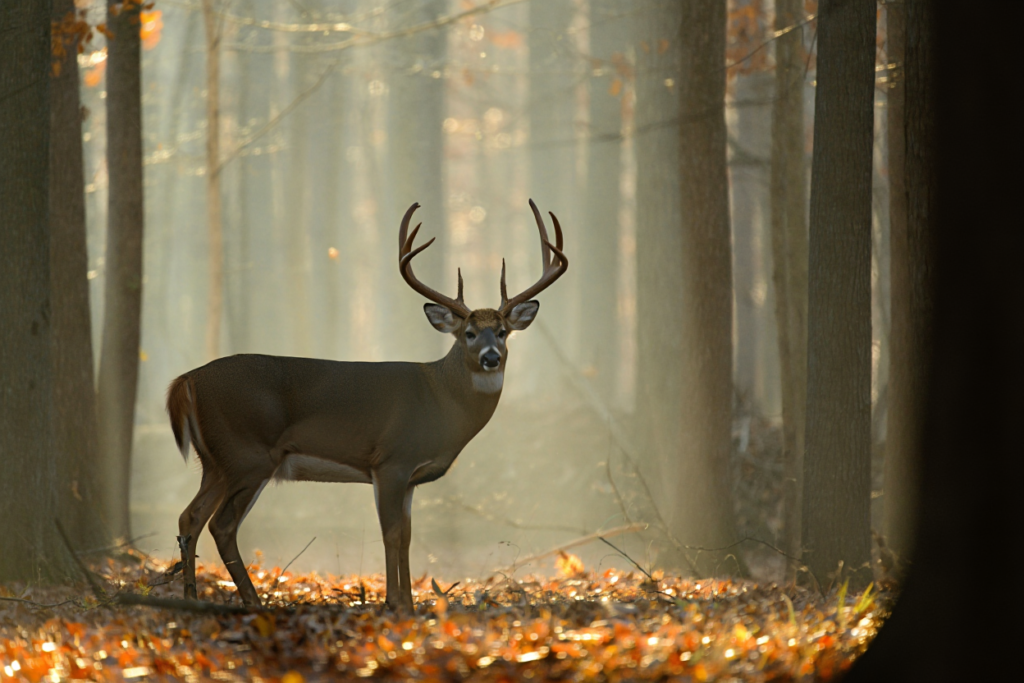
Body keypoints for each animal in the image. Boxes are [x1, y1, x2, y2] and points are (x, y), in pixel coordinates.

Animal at [165, 200, 567, 611]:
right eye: (468, 333)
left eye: (502, 332)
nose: (490, 357)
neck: (440, 396)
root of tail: (187, 379)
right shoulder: (390, 460)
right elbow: (392, 534)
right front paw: (395, 604)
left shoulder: (409, 477)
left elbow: (406, 535)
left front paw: (407, 604)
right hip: (248, 453)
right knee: (221, 524)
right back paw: (252, 602)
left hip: (216, 459)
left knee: (189, 516)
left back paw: (192, 598)